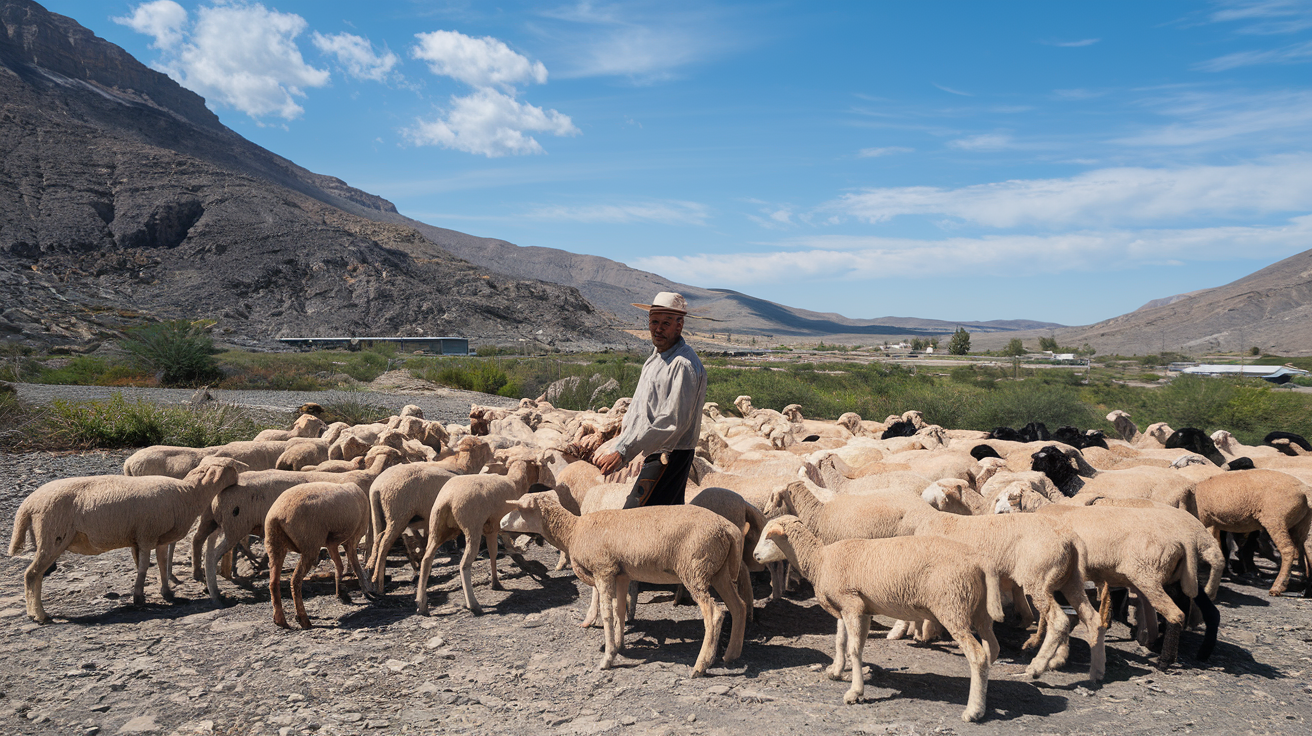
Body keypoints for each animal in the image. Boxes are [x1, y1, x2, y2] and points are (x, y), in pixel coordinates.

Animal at [9, 456, 244, 621]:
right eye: (231, 467)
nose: (243, 475)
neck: (187, 493)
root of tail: (28, 504)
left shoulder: (159, 538)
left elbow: (161, 565)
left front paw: (167, 593)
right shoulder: (146, 535)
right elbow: (143, 568)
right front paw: (139, 598)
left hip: (47, 538)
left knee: (36, 575)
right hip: (52, 536)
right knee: (32, 575)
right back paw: (39, 615)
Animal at [262, 482, 375, 624]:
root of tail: (278, 515)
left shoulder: (331, 542)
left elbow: (339, 566)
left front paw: (341, 594)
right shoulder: (351, 539)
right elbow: (355, 565)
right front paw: (366, 591)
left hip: (274, 543)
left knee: (273, 582)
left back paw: (280, 620)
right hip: (310, 545)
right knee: (295, 580)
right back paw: (303, 620)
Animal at [419, 456, 543, 616]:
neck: (515, 482)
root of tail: (448, 499)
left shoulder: (491, 529)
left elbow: (493, 553)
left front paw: (496, 580)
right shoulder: (498, 526)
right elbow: (497, 550)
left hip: (437, 527)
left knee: (426, 560)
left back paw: (422, 604)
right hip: (472, 528)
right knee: (464, 564)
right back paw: (473, 605)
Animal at [750, 514, 991, 718]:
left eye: (769, 538)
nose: (754, 556)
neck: (820, 560)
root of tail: (979, 564)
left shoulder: (853, 605)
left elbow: (854, 649)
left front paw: (855, 692)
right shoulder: (848, 607)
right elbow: (840, 641)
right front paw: (836, 671)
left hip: (953, 607)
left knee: (977, 656)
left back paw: (974, 711)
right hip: (980, 613)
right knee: (989, 652)